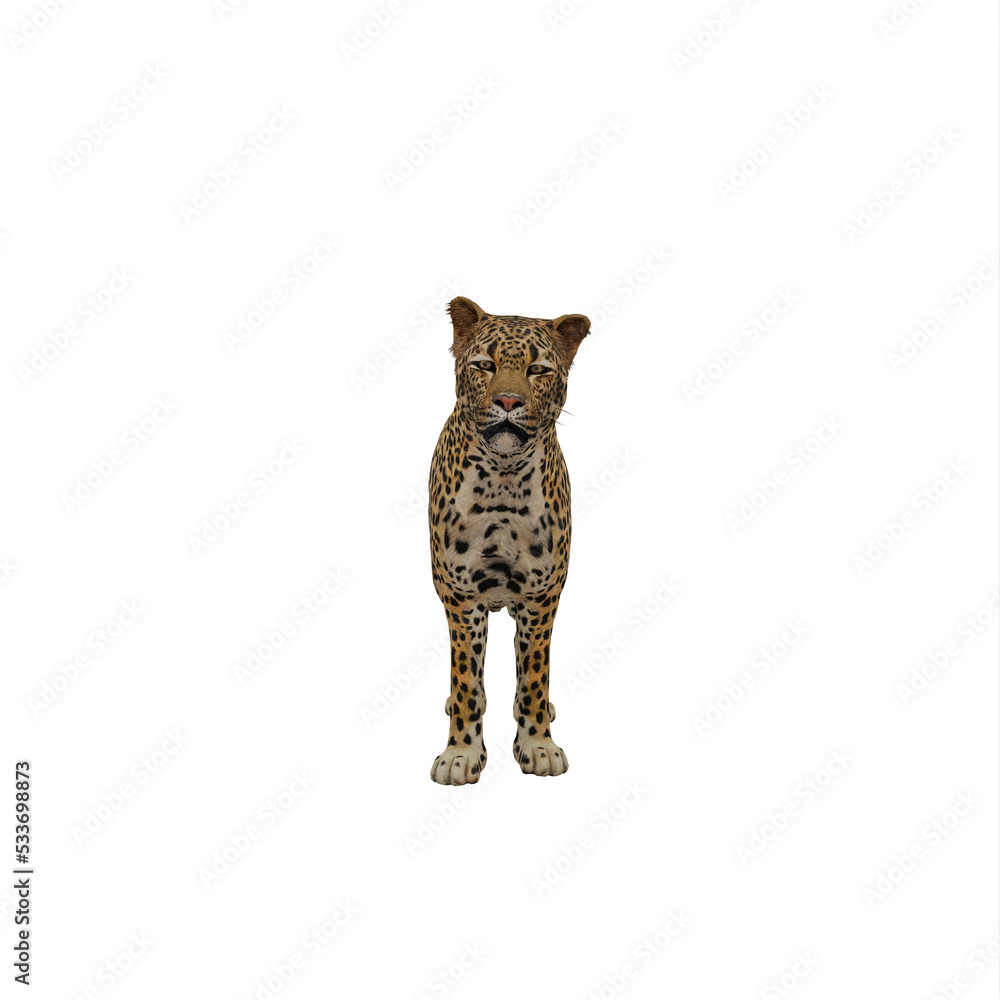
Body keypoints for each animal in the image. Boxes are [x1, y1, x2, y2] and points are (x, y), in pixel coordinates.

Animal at [427, 295, 591, 784]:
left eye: (538, 370)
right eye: (485, 364)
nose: (508, 400)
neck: (503, 480)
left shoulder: (540, 597)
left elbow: (534, 676)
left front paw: (538, 744)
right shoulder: (461, 597)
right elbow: (466, 680)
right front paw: (460, 753)